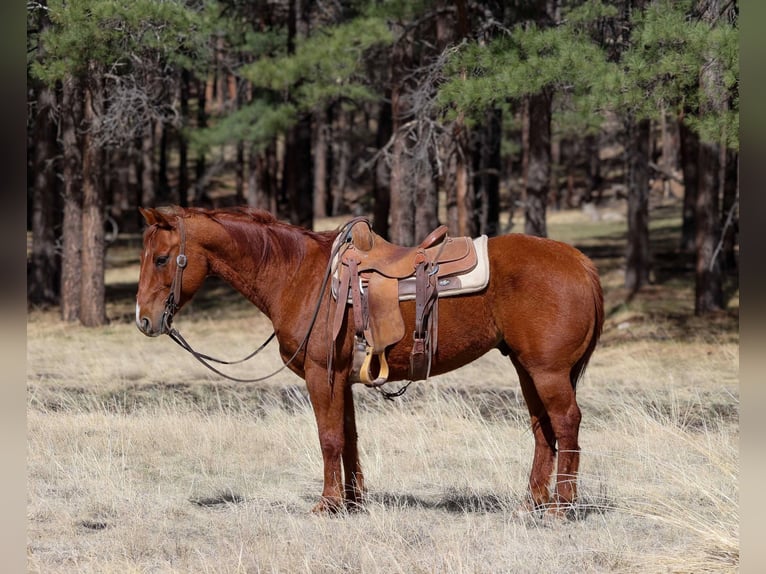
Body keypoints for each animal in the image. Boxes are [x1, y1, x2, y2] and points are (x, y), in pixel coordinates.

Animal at [135, 206, 603, 516]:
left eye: (162, 259)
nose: (144, 319)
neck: (299, 276)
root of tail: (580, 261)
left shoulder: (321, 375)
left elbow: (328, 438)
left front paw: (327, 504)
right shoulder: (341, 377)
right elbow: (348, 437)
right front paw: (353, 501)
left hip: (548, 372)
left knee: (566, 423)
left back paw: (562, 506)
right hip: (527, 369)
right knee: (543, 428)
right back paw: (533, 502)